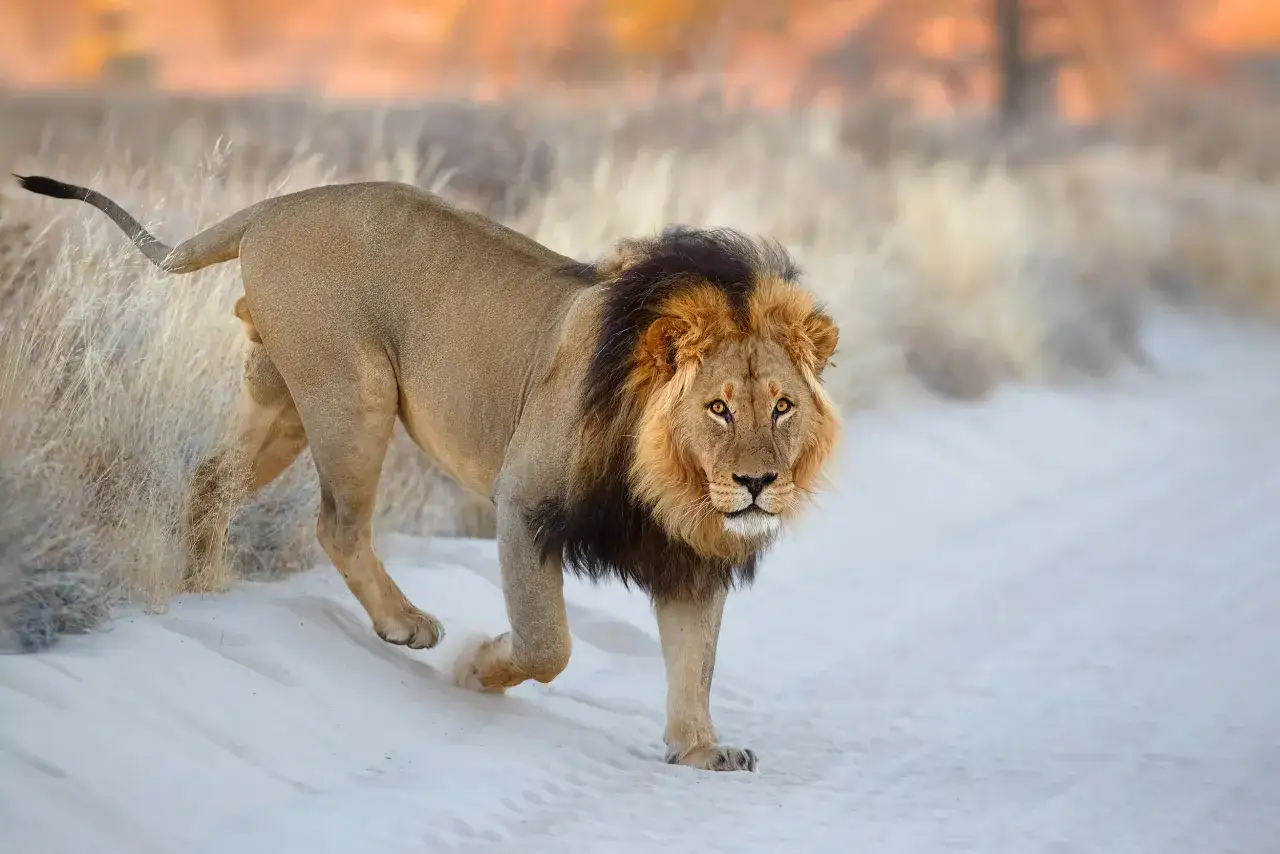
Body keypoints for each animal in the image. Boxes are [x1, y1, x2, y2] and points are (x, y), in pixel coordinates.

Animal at [15, 174, 841, 772]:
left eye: (783, 408)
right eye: (718, 409)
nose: (758, 485)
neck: (670, 486)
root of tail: (272, 207)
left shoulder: (687, 557)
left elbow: (694, 662)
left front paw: (700, 749)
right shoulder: (523, 502)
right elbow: (549, 644)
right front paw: (479, 667)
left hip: (280, 393)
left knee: (212, 478)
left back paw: (205, 590)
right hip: (354, 394)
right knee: (337, 522)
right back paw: (404, 623)